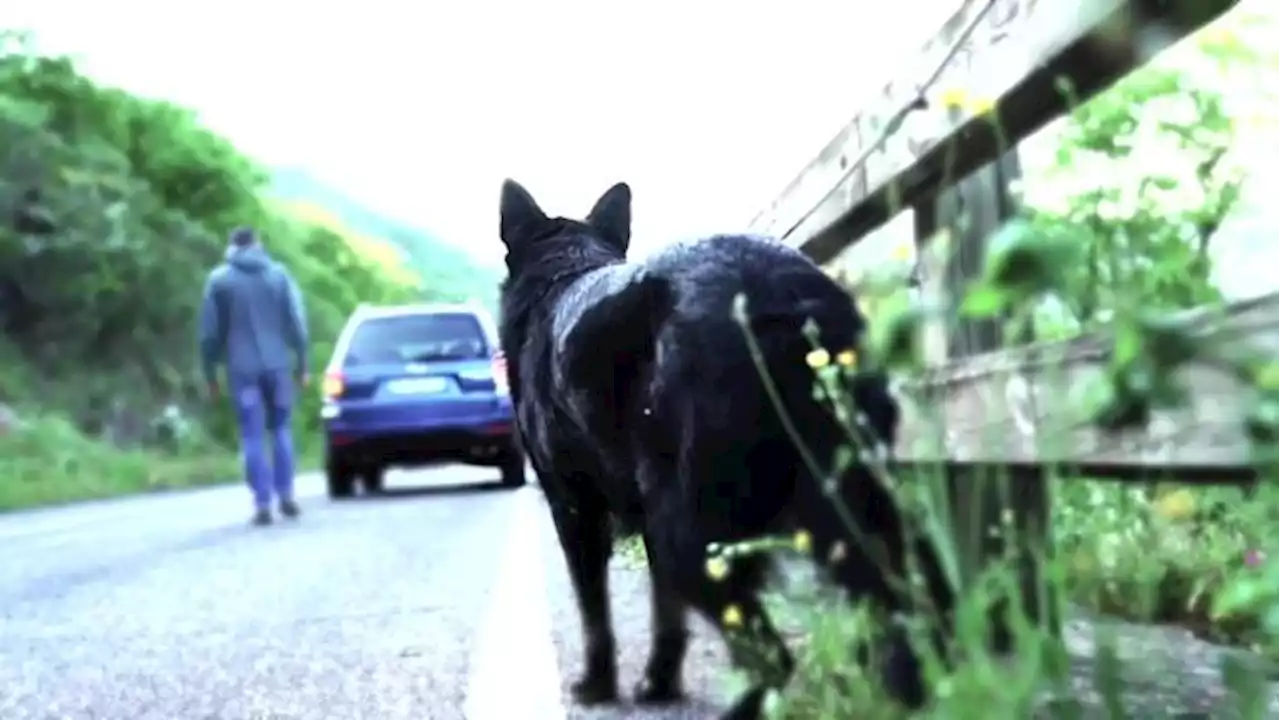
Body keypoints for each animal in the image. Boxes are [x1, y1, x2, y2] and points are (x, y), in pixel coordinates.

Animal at [494, 176, 957, 712]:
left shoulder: (575, 511)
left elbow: (596, 614)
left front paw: (599, 685)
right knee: (920, 599)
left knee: (775, 655)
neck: (565, 270)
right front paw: (659, 683)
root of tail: (778, 291)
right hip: (844, 505)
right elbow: (666, 616)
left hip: (690, 535)